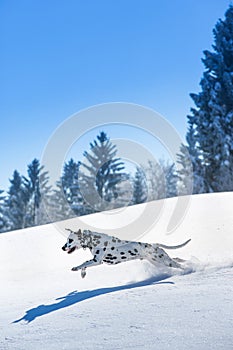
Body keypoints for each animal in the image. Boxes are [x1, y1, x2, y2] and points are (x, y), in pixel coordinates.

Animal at [62, 228, 191, 278]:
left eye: (70, 240)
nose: (62, 248)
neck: (93, 240)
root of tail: (154, 244)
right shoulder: (96, 261)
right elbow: (85, 266)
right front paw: (82, 273)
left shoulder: (97, 260)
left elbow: (83, 263)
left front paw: (76, 268)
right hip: (158, 262)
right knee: (177, 259)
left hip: (164, 261)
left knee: (179, 265)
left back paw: (189, 269)